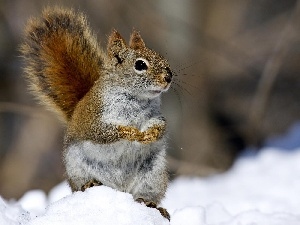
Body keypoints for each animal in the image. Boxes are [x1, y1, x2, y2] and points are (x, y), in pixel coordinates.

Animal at [20, 6, 171, 220]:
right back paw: (90, 184)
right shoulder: (95, 118)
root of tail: (120, 190)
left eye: (161, 57)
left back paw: (151, 205)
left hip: (153, 176)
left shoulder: (156, 115)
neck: (136, 98)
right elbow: (104, 132)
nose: (169, 76)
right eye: (140, 65)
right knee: (83, 185)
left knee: (145, 195)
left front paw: (151, 134)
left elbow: (161, 125)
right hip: (77, 167)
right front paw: (130, 132)